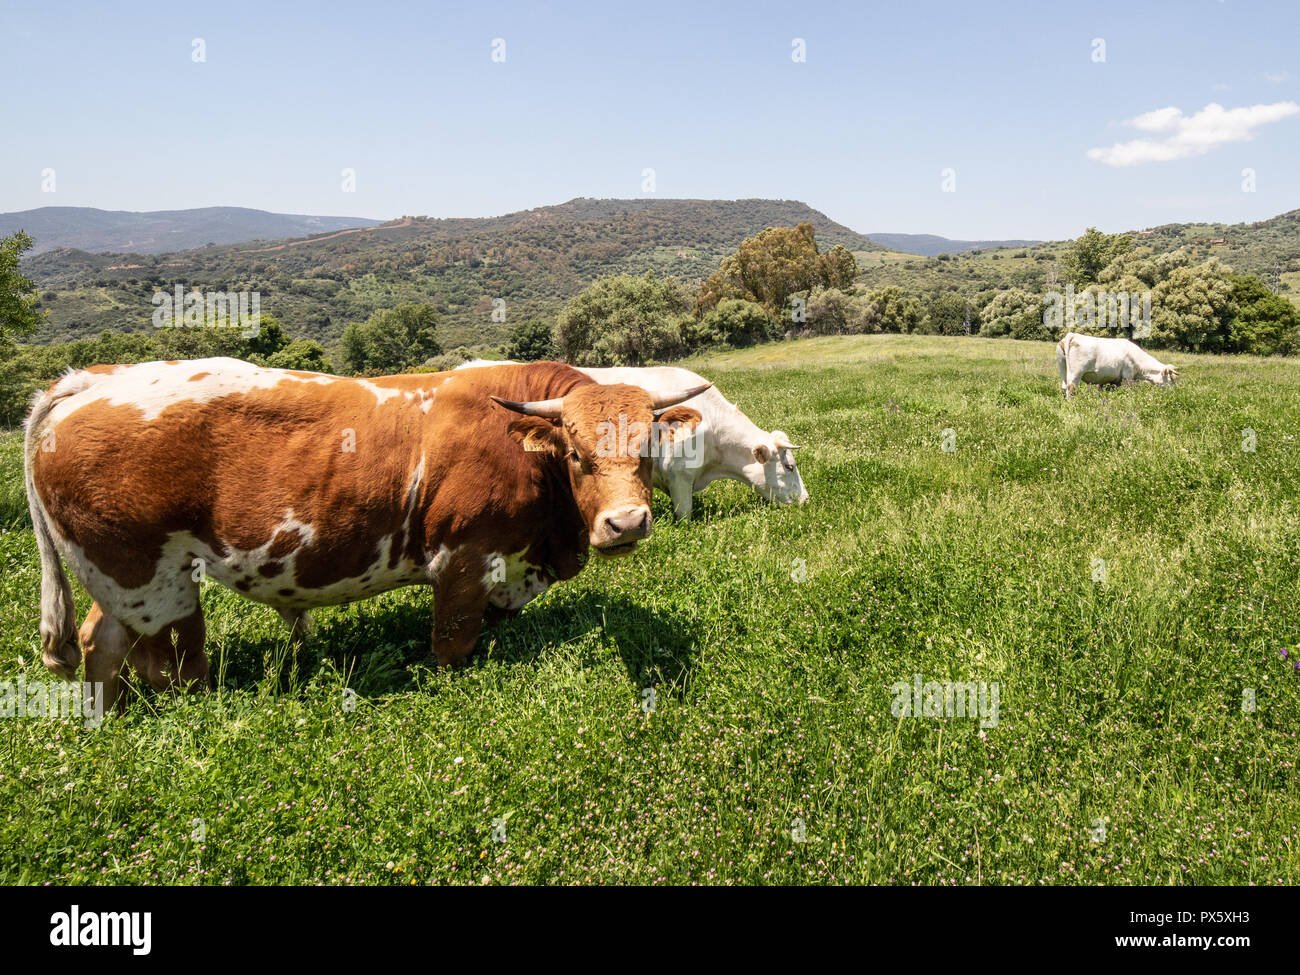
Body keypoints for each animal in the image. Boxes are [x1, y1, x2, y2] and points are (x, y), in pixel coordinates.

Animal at [22, 361, 702, 712]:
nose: (626, 523)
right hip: (148, 577)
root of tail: (94, 377)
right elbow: (453, 643)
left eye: (647, 448)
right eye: (579, 456)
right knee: (156, 659)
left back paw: (110, 719)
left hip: (127, 581)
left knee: (102, 645)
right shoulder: (463, 556)